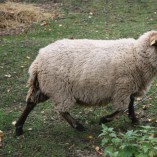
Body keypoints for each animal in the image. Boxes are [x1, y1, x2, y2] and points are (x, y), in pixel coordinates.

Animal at [15, 30, 157, 136]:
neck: (137, 55)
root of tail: (37, 62)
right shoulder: (123, 89)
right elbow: (122, 108)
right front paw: (104, 120)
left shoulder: (131, 88)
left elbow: (131, 104)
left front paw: (134, 119)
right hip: (60, 89)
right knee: (61, 110)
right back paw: (78, 126)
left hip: (42, 86)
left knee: (31, 103)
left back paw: (18, 128)